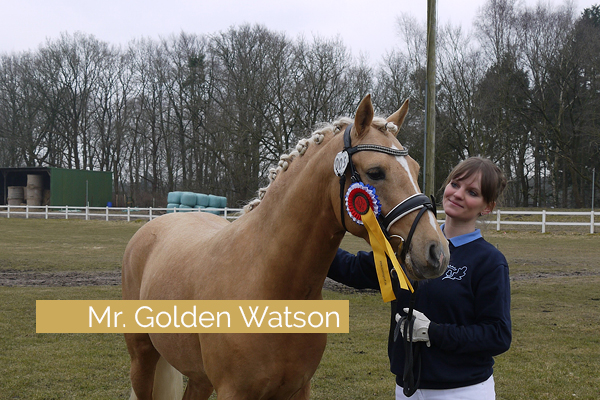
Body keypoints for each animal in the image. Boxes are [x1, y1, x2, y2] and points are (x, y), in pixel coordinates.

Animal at [123, 95, 450, 398]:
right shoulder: (233, 391)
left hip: (199, 377)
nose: (437, 252)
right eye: (375, 172)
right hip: (142, 358)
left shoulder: (297, 388)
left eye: (415, 169)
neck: (268, 283)